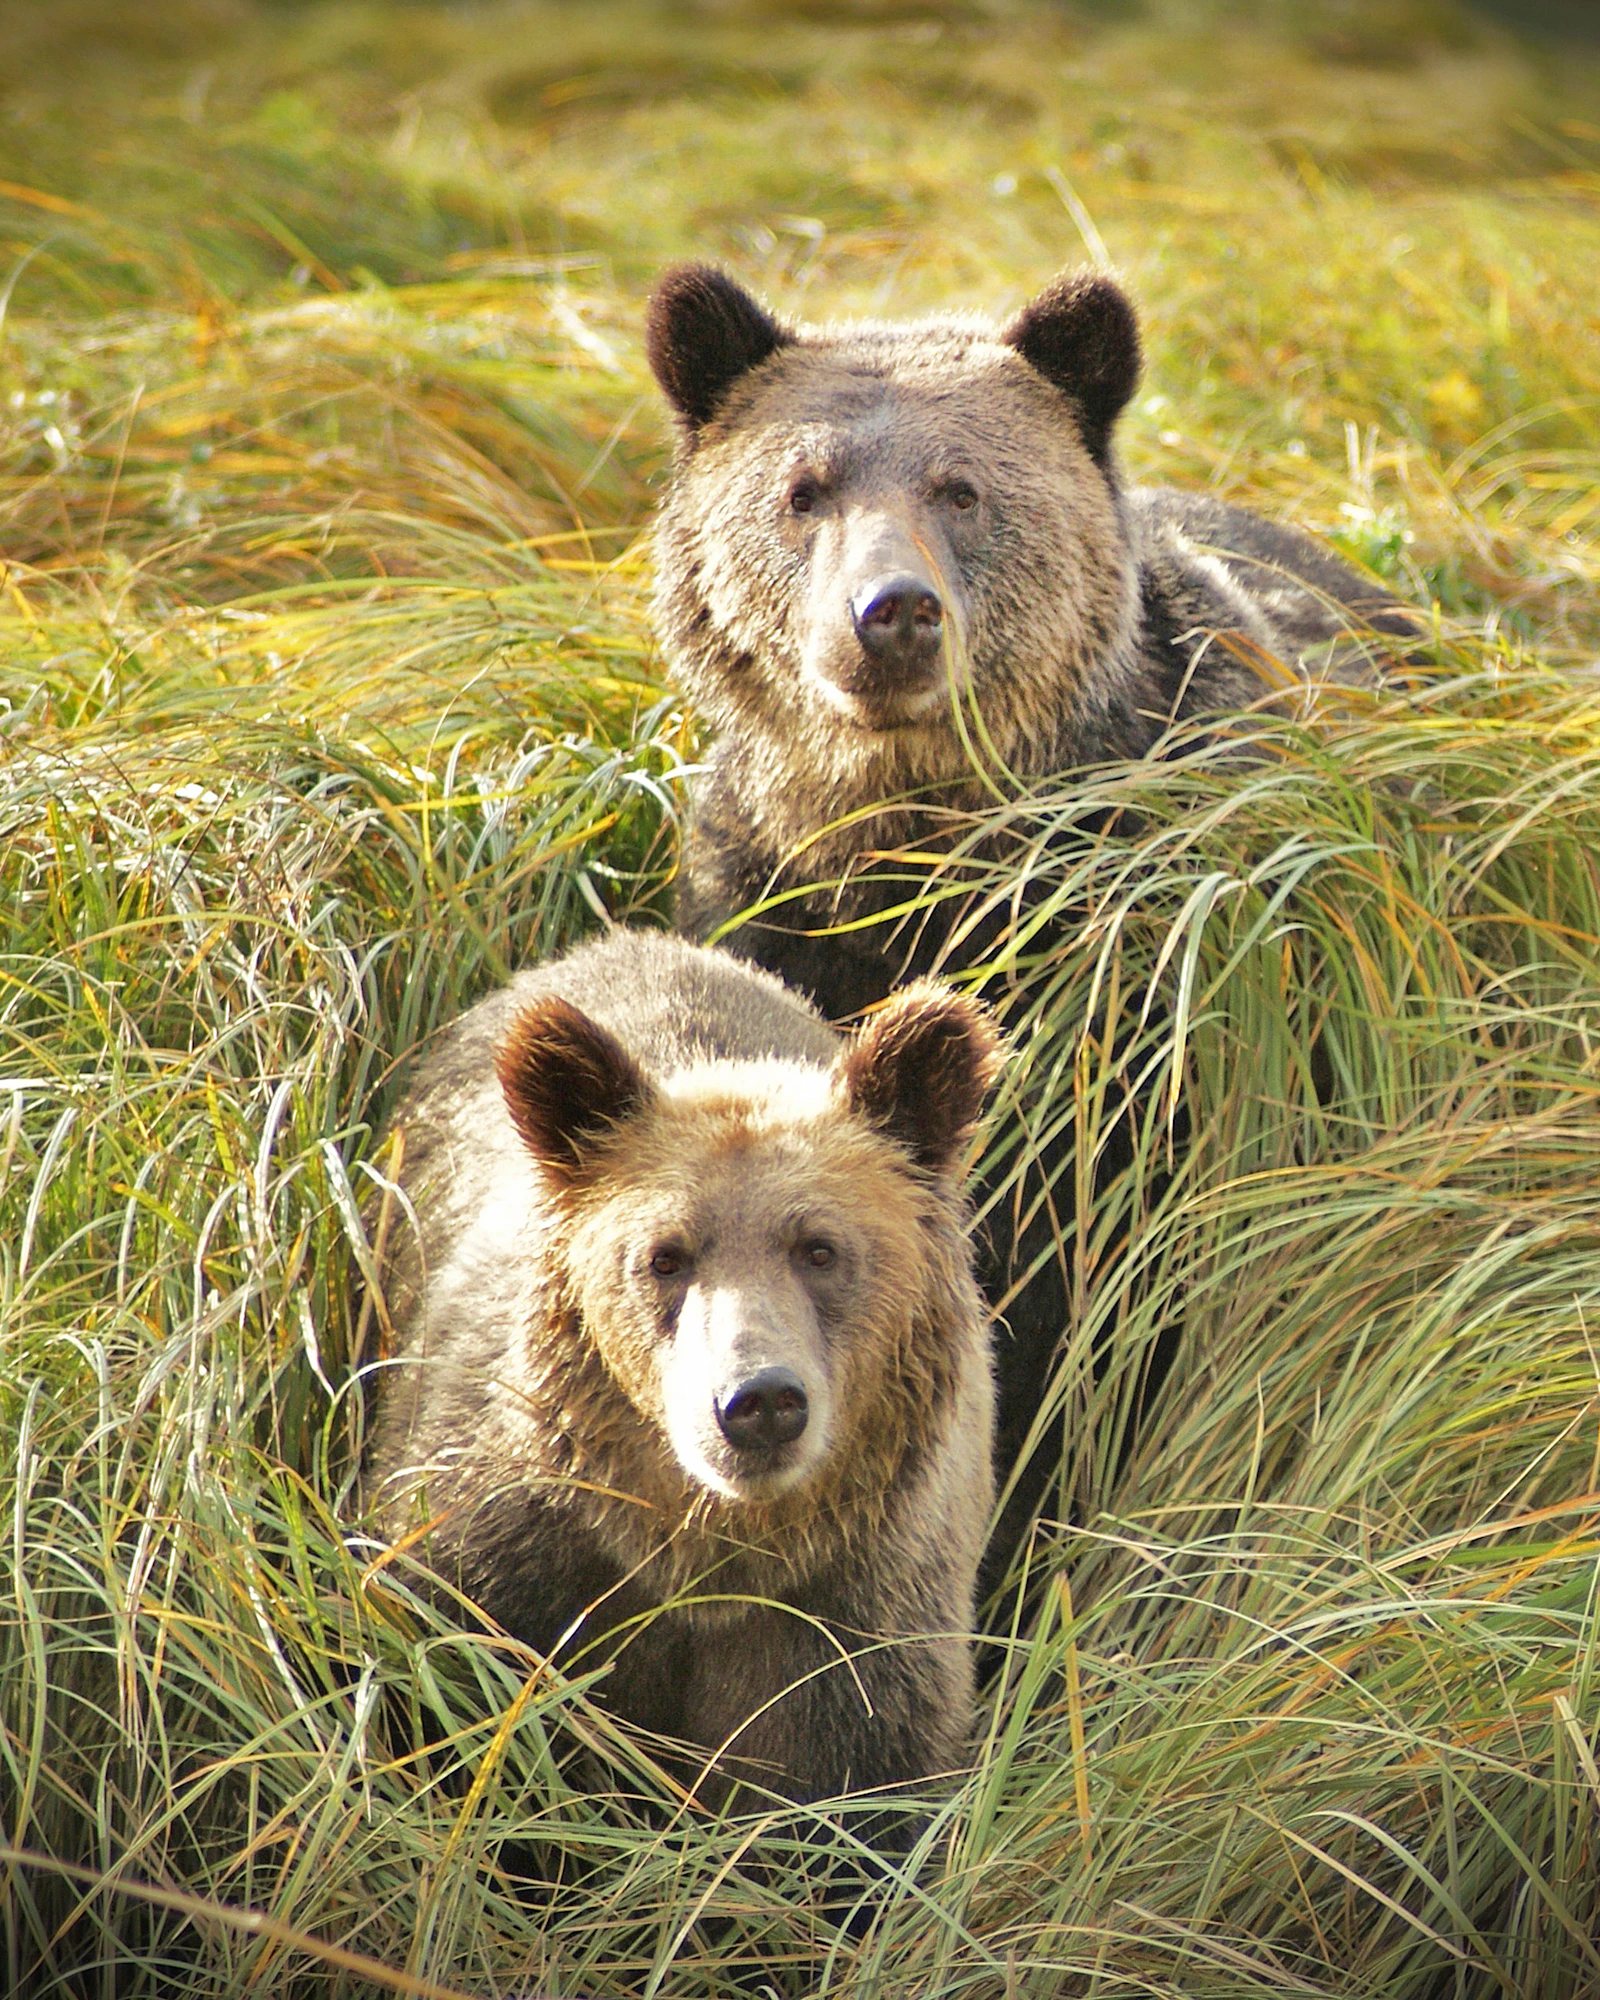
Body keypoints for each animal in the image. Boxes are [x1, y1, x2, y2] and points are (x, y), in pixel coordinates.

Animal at [365, 928, 1000, 1811]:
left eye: (820, 1249)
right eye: (665, 1257)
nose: (759, 1400)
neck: (702, 1556)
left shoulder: (854, 1624)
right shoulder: (506, 1567)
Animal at [644, 263, 1422, 1591]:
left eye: (961, 486)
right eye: (803, 488)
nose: (891, 613)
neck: (925, 851)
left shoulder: (1147, 986)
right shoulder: (772, 908)